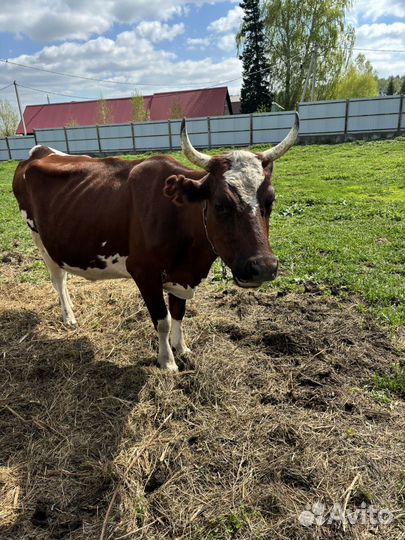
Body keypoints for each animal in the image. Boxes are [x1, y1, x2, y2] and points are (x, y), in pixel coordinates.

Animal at [12, 114, 298, 372]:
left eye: (270, 201)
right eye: (220, 204)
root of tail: (39, 151)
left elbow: (179, 312)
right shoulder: (143, 271)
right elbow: (163, 320)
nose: (263, 267)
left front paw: (182, 348)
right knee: (58, 279)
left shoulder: (182, 274)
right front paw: (168, 362)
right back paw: (69, 317)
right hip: (40, 239)